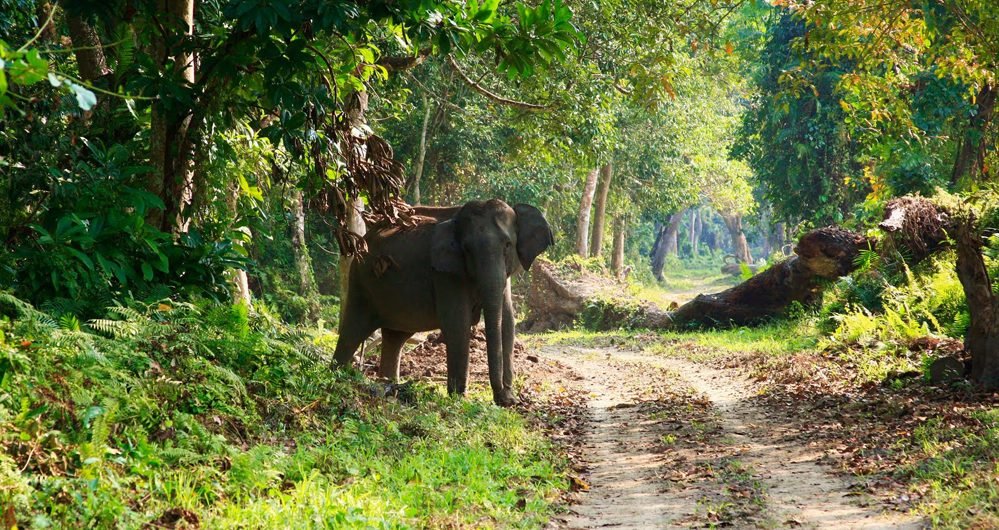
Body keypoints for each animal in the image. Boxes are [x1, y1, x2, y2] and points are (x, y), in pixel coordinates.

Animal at [334, 198, 556, 404]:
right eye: (467, 249)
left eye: (508, 245)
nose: (502, 398)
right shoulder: (445, 274)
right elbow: (457, 323)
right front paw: (459, 399)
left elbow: (508, 323)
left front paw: (509, 399)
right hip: (360, 281)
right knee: (353, 329)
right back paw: (339, 376)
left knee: (395, 337)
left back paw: (389, 388)